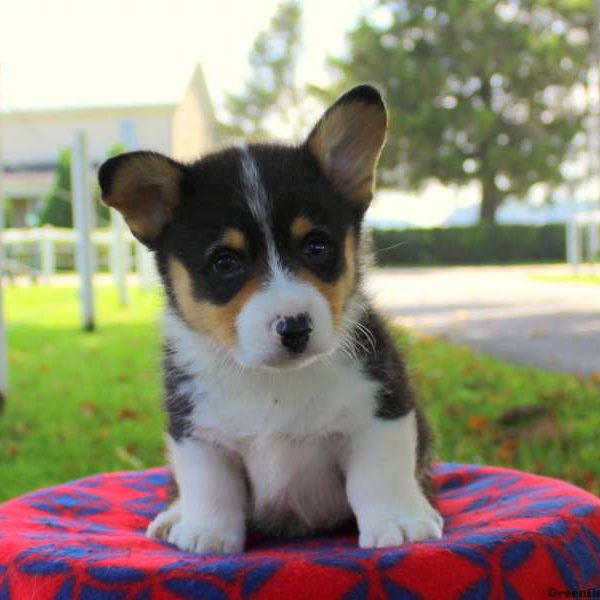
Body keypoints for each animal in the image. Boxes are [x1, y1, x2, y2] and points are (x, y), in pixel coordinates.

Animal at [98, 84, 442, 552]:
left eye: (316, 246)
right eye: (225, 263)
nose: (294, 327)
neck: (273, 381)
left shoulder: (381, 414)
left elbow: (380, 477)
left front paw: (398, 523)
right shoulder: (198, 436)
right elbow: (209, 488)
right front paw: (206, 534)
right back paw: (174, 516)